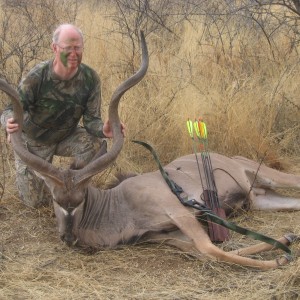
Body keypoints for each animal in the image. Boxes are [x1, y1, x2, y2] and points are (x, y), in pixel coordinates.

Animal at [0, 32, 300, 270]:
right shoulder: (169, 235)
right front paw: (285, 242)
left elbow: (211, 250)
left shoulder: (180, 212)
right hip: (261, 200)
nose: (68, 238)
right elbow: (208, 253)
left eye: (81, 199)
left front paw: (281, 258)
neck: (121, 205)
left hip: (267, 177)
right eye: (55, 199)